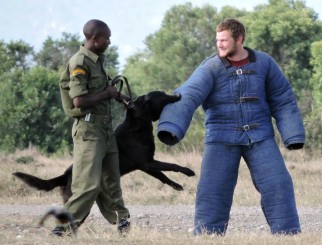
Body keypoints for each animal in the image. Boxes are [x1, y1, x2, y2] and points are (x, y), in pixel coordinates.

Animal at [13, 91, 195, 204]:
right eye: (163, 95)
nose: (179, 95)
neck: (137, 123)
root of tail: (64, 176)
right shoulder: (148, 162)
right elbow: (172, 166)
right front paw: (189, 172)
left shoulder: (147, 165)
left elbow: (163, 176)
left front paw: (177, 186)